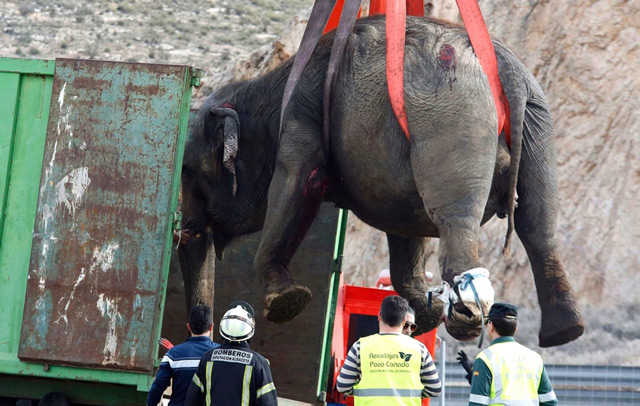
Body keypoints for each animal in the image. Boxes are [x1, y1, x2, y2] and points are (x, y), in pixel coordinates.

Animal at [180, 15, 585, 347]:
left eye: (190, 171)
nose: (202, 325)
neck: (266, 85)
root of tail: (506, 68)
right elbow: (406, 226)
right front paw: (423, 313)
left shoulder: (300, 118)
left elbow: (303, 181)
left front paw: (286, 301)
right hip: (537, 124)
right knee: (538, 225)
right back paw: (564, 330)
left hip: (452, 117)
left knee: (455, 219)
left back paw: (465, 319)